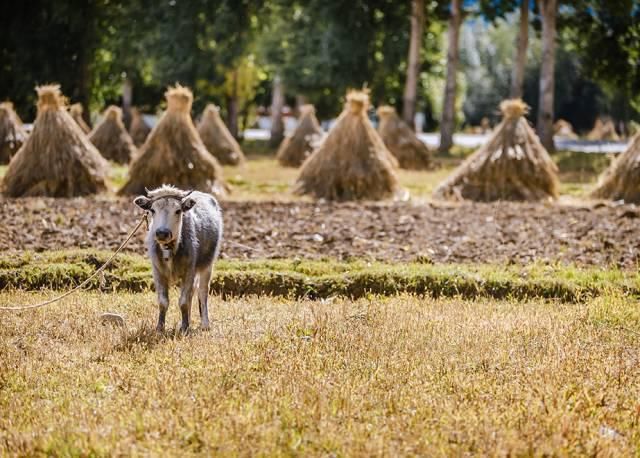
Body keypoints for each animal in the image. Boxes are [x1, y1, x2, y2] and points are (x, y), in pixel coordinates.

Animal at [133, 184, 222, 330]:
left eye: (178, 210)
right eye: (152, 210)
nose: (162, 233)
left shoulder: (189, 271)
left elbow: (183, 301)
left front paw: (184, 328)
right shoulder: (158, 272)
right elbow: (163, 301)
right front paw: (160, 328)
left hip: (207, 265)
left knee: (202, 291)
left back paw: (204, 324)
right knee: (193, 292)